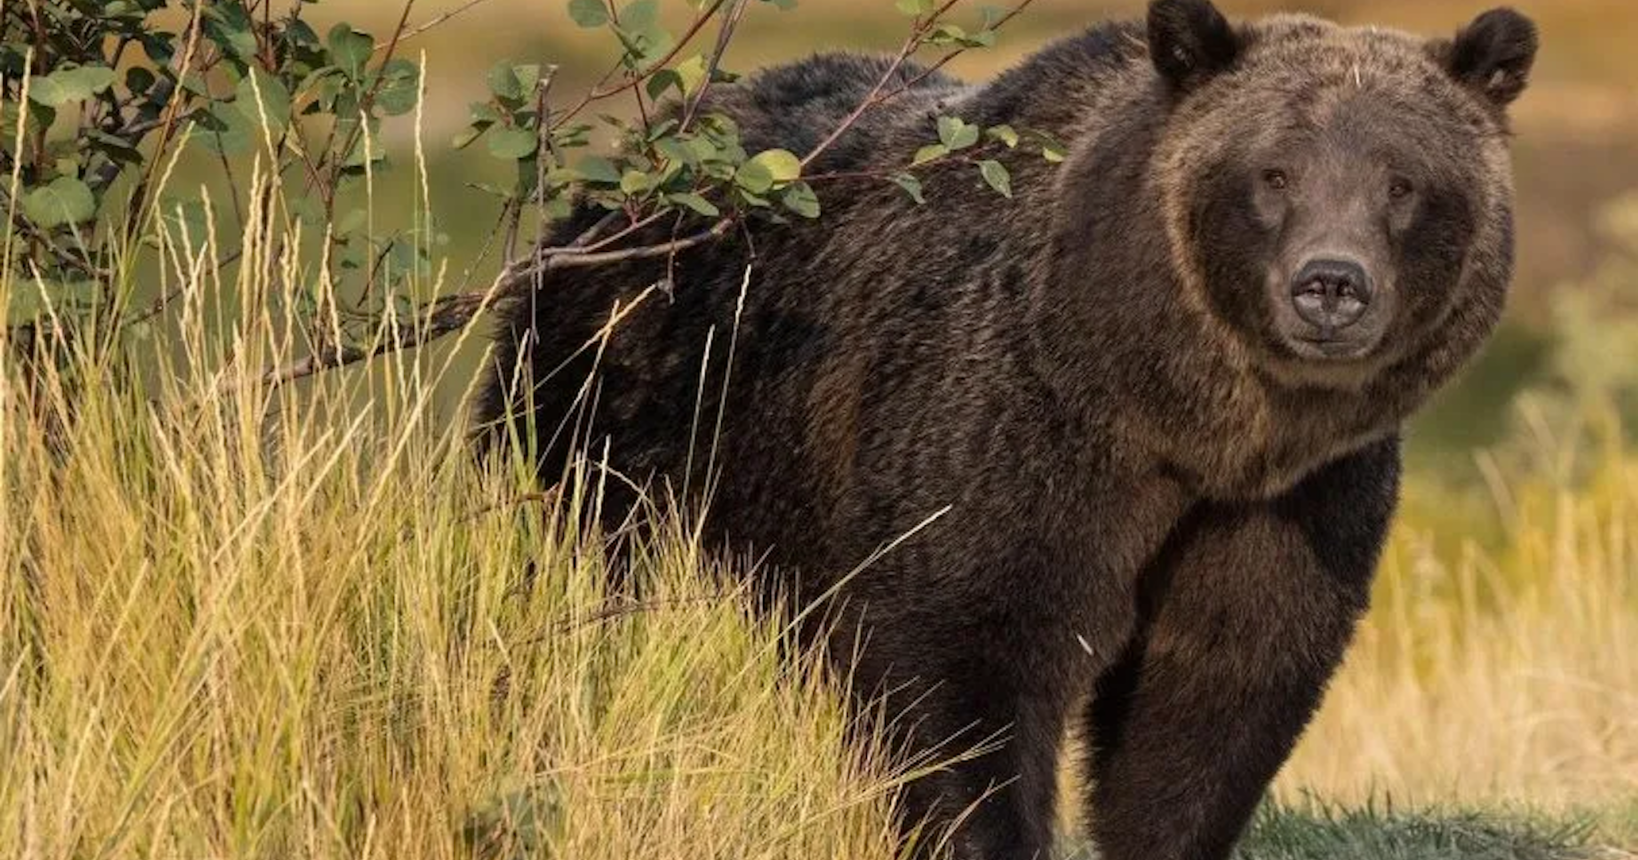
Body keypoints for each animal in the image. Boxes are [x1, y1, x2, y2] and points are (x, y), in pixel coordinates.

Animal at [473, 2, 1538, 858]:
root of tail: (628, 167)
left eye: (1402, 182)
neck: (1186, 419)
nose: (1330, 285)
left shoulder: (1295, 503)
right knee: (570, 579)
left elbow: (1214, 693)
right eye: (1273, 173)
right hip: (616, 406)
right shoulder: (1012, 432)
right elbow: (963, 665)